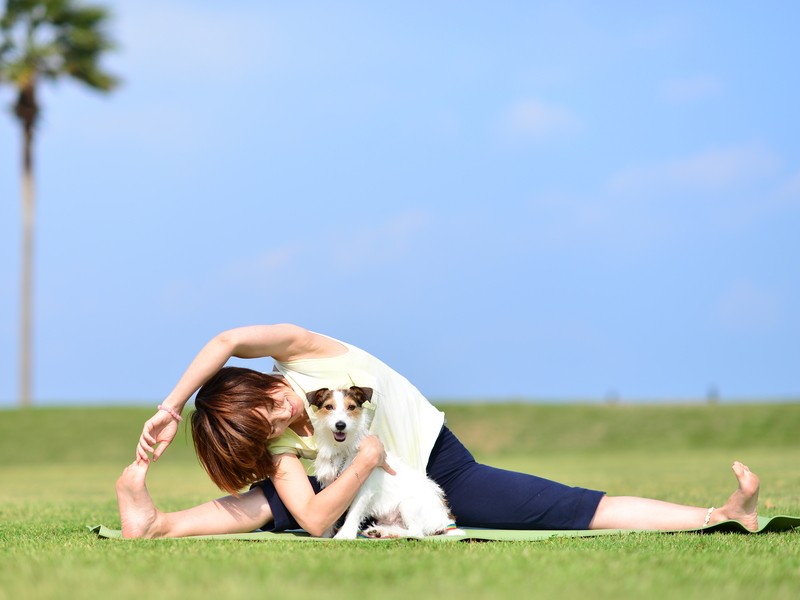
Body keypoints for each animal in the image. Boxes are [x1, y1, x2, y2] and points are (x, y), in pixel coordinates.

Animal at [310, 386, 466, 540]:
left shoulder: (363, 489)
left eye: (351, 407)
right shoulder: (334, 487)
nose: (340, 425)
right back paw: (380, 532)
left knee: (416, 532)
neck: (343, 449)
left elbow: (354, 512)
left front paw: (345, 535)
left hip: (407, 505)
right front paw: (325, 534)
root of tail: (445, 521)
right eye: (329, 407)